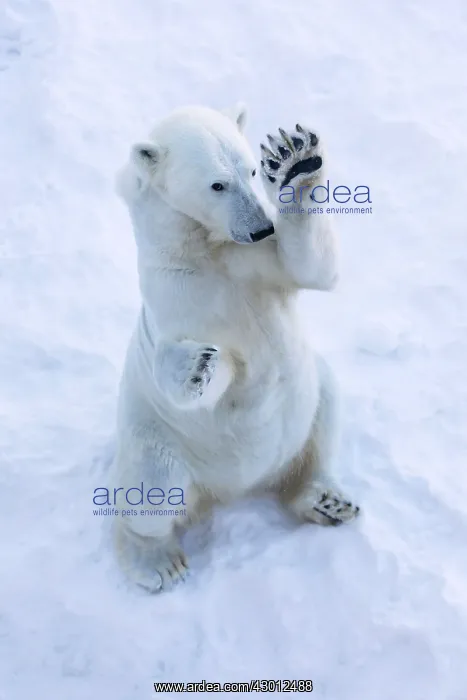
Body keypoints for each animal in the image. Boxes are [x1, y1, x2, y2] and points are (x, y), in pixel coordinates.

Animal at [111, 104, 360, 592]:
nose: (261, 227)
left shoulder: (260, 264)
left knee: (325, 415)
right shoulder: (175, 296)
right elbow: (203, 376)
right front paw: (199, 365)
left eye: (250, 170)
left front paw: (295, 160)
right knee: (152, 487)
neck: (207, 252)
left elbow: (314, 268)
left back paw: (326, 499)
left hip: (311, 401)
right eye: (217, 184)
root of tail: (233, 491)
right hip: (158, 438)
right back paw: (158, 561)